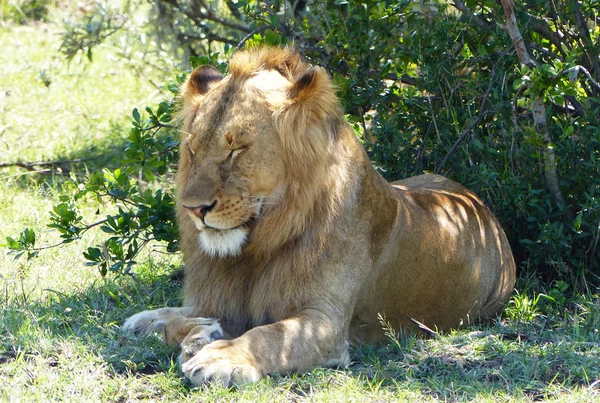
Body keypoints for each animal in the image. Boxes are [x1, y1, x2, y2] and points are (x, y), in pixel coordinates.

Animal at [123, 46, 516, 388]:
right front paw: (177, 325)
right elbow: (187, 317)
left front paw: (219, 356)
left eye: (236, 150)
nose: (193, 208)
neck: (253, 251)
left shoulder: (325, 322)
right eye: (192, 149)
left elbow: (267, 335)